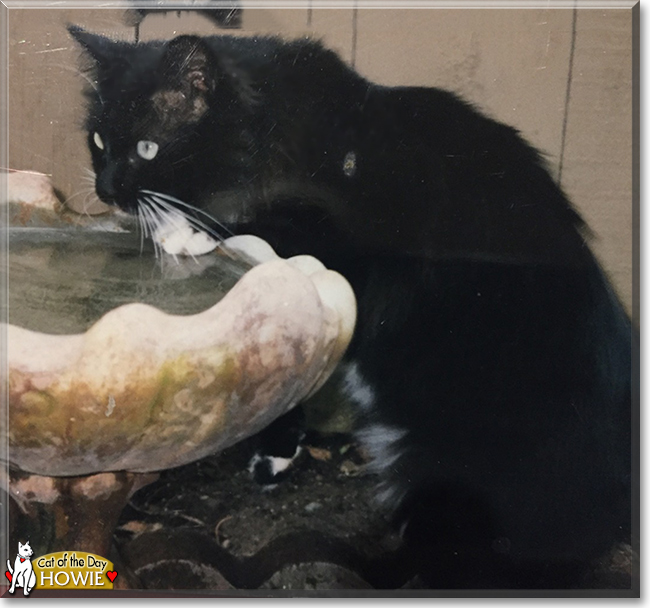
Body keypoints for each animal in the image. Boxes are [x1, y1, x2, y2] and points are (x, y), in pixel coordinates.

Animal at [68, 27, 632, 588]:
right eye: (97, 142)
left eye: (147, 148)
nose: (106, 189)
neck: (288, 126)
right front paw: (276, 452)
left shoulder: (341, 249)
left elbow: (260, 228)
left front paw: (186, 233)